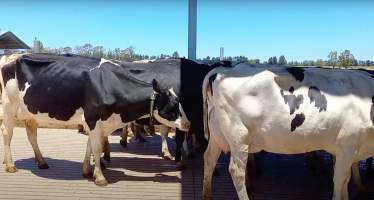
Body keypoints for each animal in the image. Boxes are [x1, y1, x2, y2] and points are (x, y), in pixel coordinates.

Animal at [203, 64, 374, 200]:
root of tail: (223, 70)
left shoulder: (345, 152)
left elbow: (345, 182)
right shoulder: (347, 147)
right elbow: (340, 182)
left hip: (217, 133)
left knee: (209, 159)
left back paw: (207, 196)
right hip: (239, 135)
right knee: (236, 171)